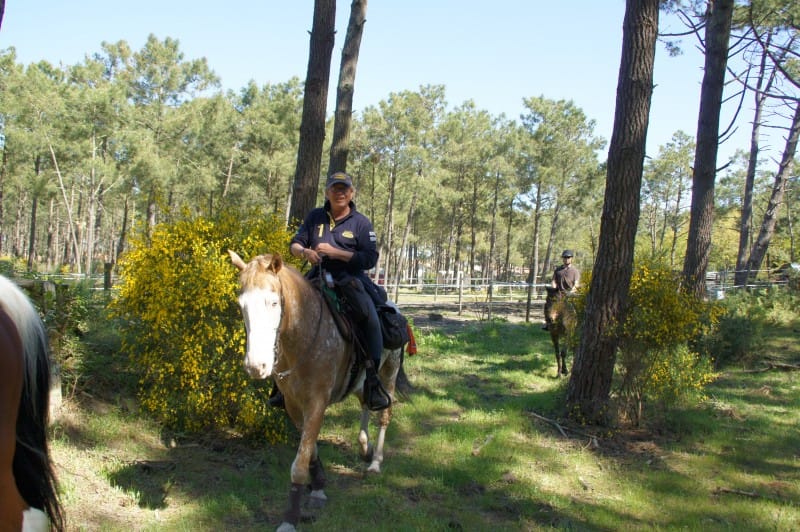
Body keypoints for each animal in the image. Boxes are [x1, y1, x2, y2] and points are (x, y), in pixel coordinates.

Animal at [228, 250, 410, 532]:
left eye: (273, 302)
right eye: (241, 305)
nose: (256, 366)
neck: (303, 334)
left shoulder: (317, 402)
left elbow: (299, 464)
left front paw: (290, 518)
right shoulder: (293, 404)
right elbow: (309, 448)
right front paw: (318, 485)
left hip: (389, 373)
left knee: (383, 415)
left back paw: (376, 461)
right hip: (362, 383)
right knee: (365, 403)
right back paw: (364, 446)